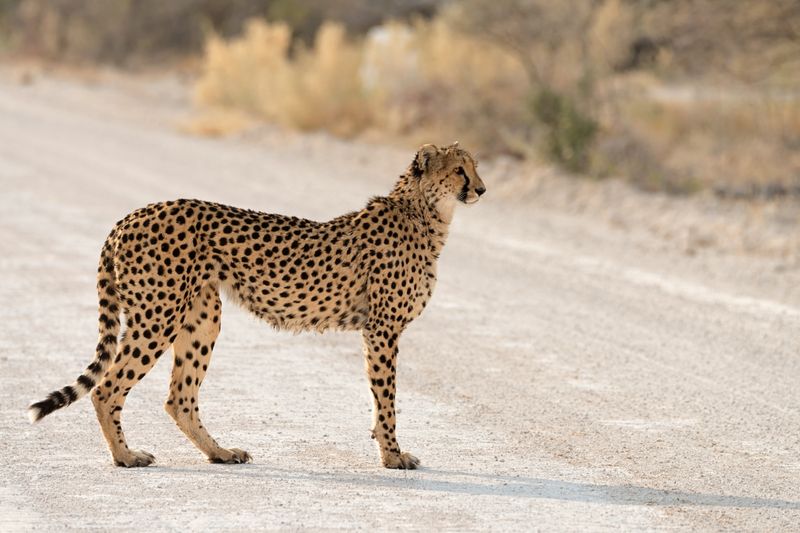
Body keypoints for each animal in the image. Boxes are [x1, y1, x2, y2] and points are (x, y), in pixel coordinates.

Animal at [28, 142, 486, 469]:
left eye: (475, 165)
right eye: (458, 170)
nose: (481, 189)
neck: (425, 214)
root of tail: (132, 215)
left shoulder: (378, 329)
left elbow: (382, 398)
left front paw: (389, 450)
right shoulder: (382, 329)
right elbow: (386, 399)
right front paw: (392, 455)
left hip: (202, 317)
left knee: (179, 397)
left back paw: (220, 452)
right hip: (158, 315)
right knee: (107, 388)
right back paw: (126, 456)